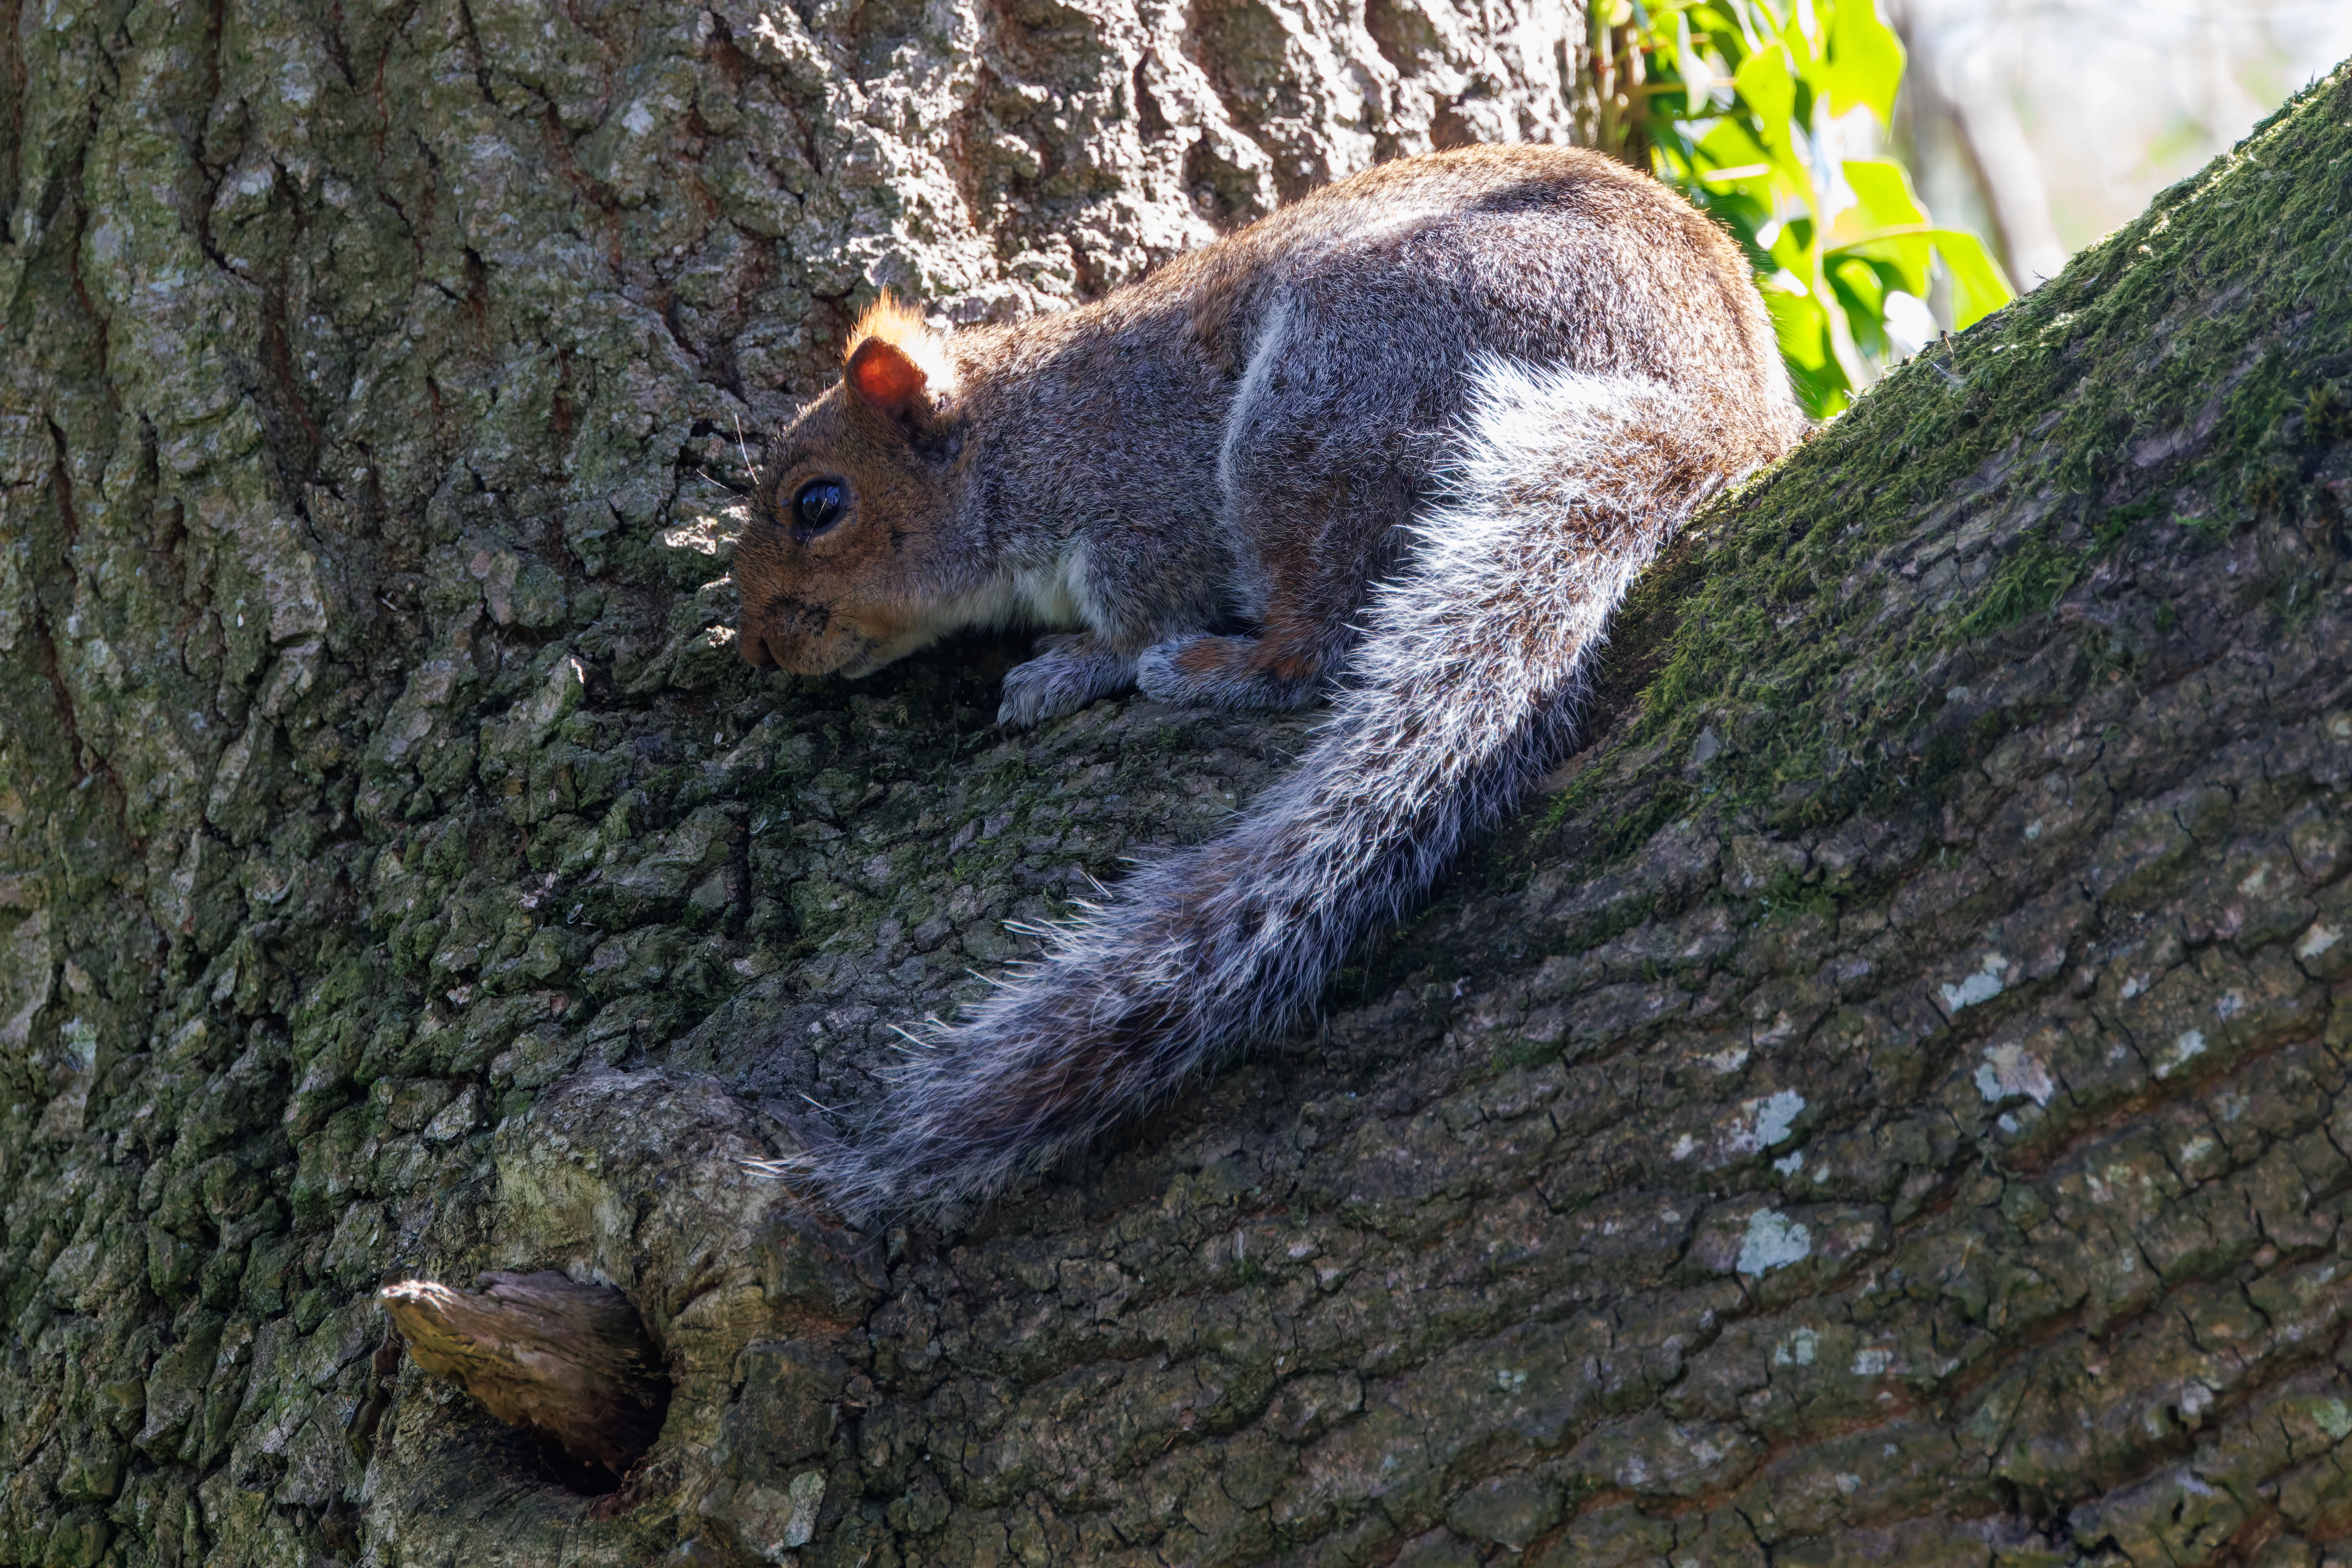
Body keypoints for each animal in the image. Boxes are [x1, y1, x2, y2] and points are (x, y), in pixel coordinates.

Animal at [733, 143, 1806, 1216]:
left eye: (819, 504)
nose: (758, 650)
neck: (1017, 437)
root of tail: (1716, 412)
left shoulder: (1142, 503)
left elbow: (1138, 613)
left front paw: (1073, 667)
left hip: (1329, 395)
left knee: (1316, 641)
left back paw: (1217, 667)